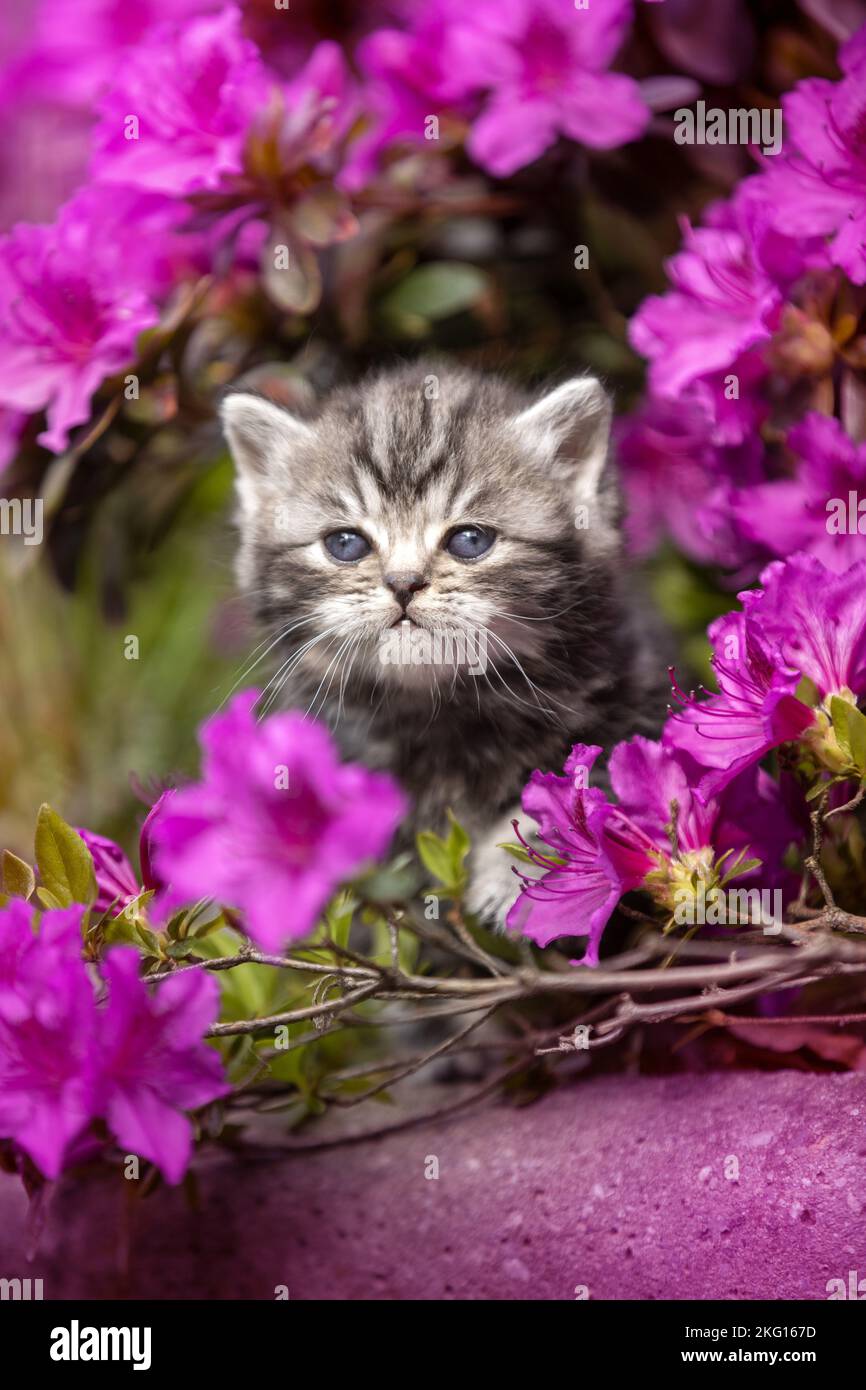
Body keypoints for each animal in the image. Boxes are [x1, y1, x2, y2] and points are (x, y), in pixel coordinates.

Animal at [219, 361, 667, 922]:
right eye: (345, 544)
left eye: (470, 540)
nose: (404, 583)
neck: (443, 711)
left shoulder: (634, 692)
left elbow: (590, 785)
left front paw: (520, 868)